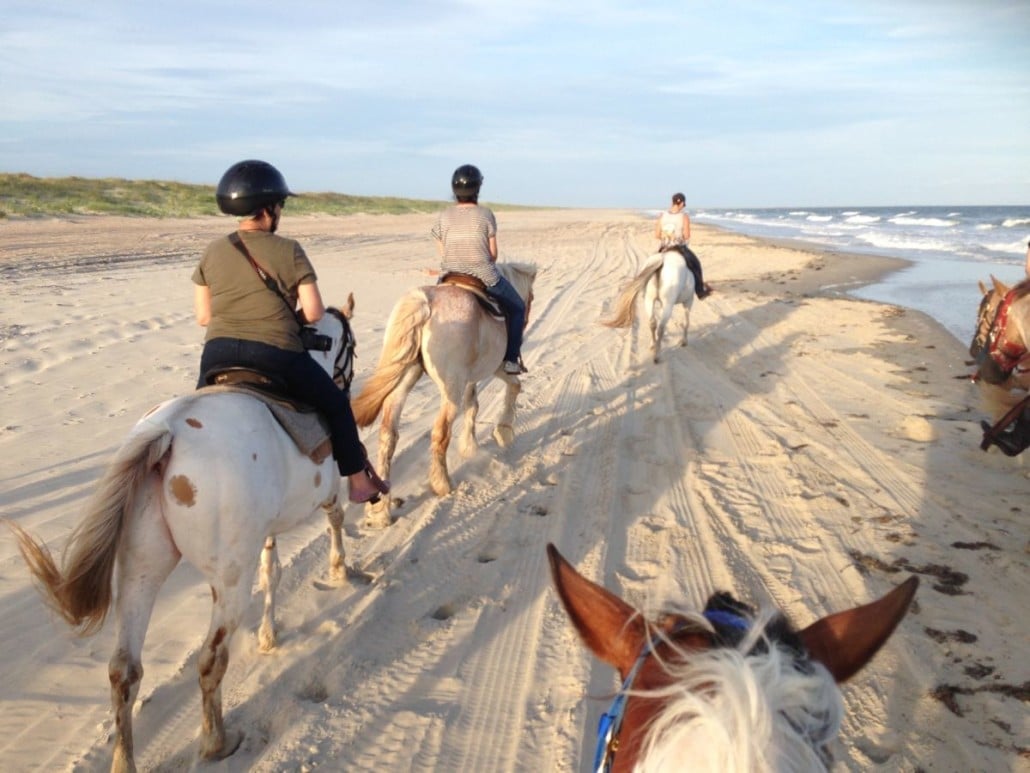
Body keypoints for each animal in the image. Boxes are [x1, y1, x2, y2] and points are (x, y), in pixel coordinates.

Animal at [6, 298, 358, 770]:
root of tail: (167, 431)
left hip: (140, 568)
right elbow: (334, 524)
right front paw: (340, 570)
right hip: (228, 582)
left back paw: (125, 759)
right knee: (210, 659)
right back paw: (216, 742)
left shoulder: (265, 531)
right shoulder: (330, 491)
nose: (345, 382)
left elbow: (273, 570)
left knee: (124, 670)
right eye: (350, 345)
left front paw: (269, 635)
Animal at [350, 261, 535, 527]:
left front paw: (470, 446)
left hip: (407, 377)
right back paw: (442, 483)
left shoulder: (471, 378)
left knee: (388, 434)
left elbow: (473, 406)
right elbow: (514, 386)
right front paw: (503, 432)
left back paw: (380, 510)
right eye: (530, 299)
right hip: (450, 387)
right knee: (440, 432)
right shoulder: (498, 367)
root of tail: (424, 304)